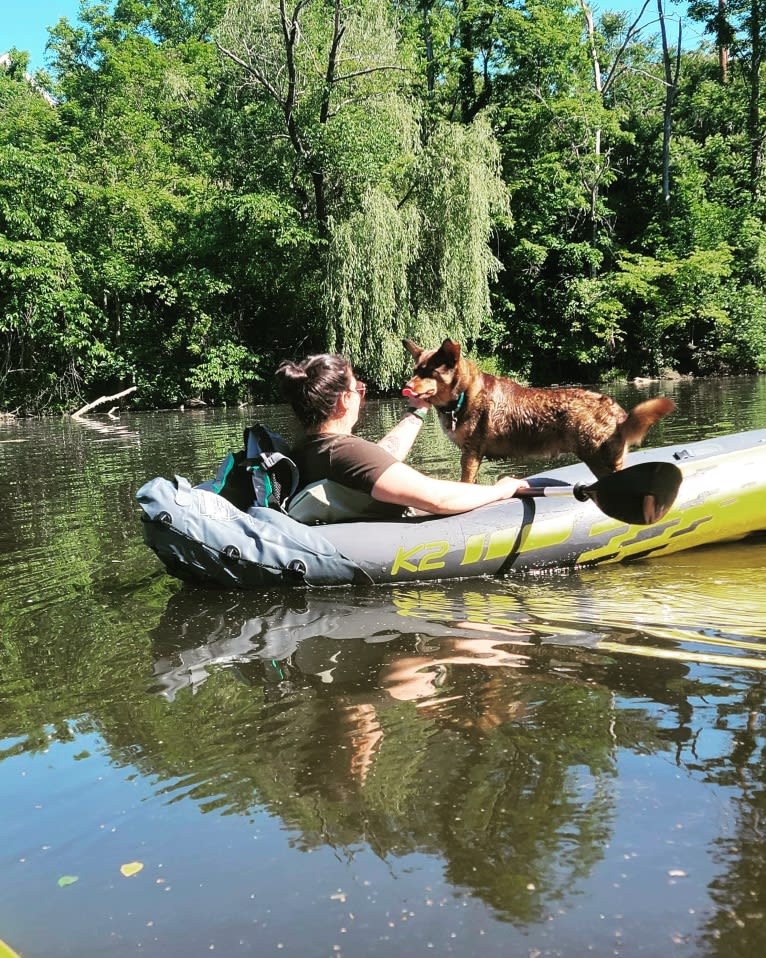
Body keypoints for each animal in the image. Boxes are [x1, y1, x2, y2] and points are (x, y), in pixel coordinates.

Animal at [404, 340, 676, 488]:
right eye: (416, 370)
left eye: (430, 372)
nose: (405, 386)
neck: (463, 394)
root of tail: (614, 410)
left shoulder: (471, 453)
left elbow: (466, 482)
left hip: (597, 457)